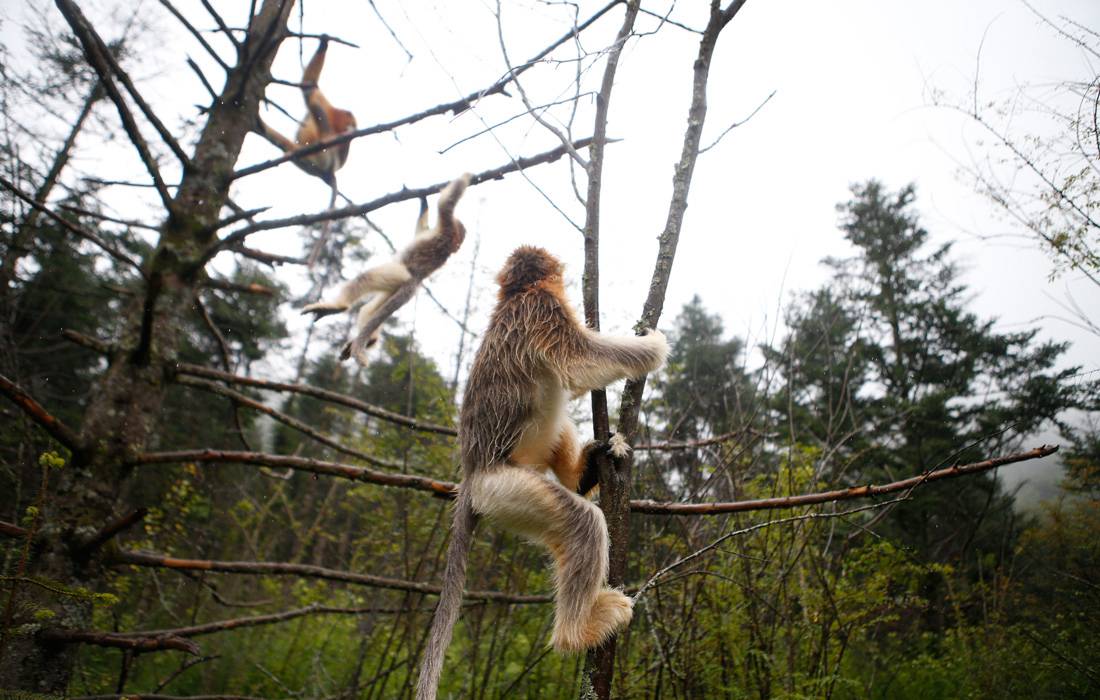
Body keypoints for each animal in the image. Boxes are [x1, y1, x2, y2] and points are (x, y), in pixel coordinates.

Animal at [303, 173, 470, 365]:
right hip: (394, 287)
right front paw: (423, 198)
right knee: (368, 310)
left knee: (366, 279)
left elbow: (445, 204)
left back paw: (338, 307)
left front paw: (465, 177)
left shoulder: (446, 229)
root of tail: (415, 282)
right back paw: (369, 339)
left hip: (399, 275)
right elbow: (423, 225)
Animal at [413, 246, 664, 700]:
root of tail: (471, 478)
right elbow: (581, 365)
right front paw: (651, 346)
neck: (513, 298)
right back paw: (578, 633)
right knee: (583, 524)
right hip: (507, 492)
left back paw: (583, 473)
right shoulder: (543, 309)